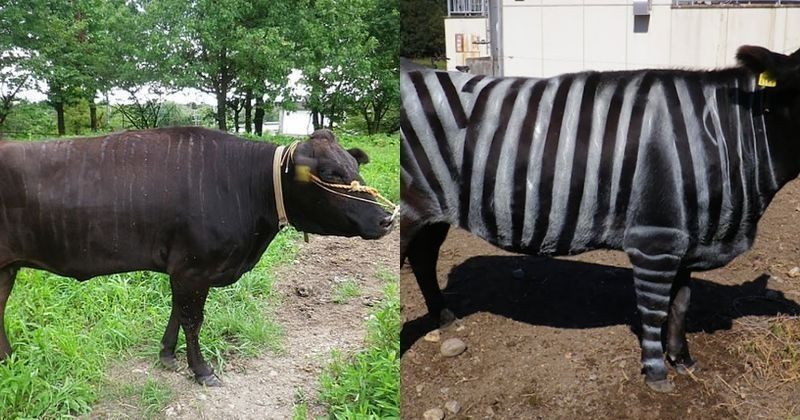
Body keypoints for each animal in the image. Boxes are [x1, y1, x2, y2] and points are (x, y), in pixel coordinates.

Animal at [0, 126, 390, 386]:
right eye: (329, 173)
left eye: (354, 169)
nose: (387, 218)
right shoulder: (193, 268)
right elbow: (193, 319)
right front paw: (201, 370)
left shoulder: (182, 269)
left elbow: (177, 311)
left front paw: (167, 355)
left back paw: (9, 360)